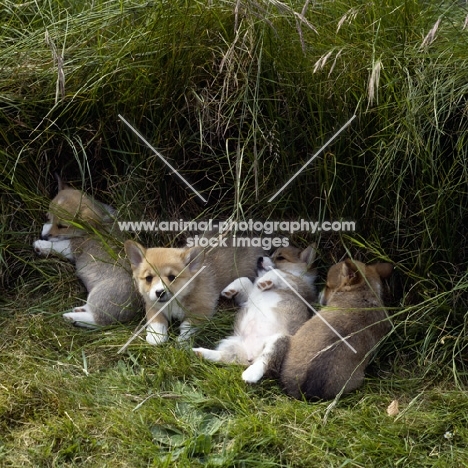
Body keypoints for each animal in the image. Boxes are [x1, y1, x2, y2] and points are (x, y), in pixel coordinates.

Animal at [33, 181, 141, 328]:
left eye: (62, 226)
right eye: (48, 217)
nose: (43, 236)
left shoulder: (74, 245)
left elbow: (57, 245)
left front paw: (40, 245)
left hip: (100, 296)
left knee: (98, 321)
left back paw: (72, 317)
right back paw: (80, 310)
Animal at [123, 241, 264, 344]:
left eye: (172, 277)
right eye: (148, 278)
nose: (160, 292)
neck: (174, 301)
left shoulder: (201, 310)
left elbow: (186, 326)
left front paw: (182, 340)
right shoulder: (152, 305)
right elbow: (156, 320)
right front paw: (156, 337)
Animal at [191, 245, 318, 384]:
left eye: (280, 257)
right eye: (270, 254)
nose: (259, 258)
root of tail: (251, 356)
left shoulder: (298, 284)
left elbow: (278, 272)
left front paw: (264, 281)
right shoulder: (247, 296)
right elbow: (245, 280)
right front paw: (229, 290)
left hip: (278, 340)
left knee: (265, 361)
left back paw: (250, 374)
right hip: (231, 344)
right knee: (224, 357)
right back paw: (200, 352)